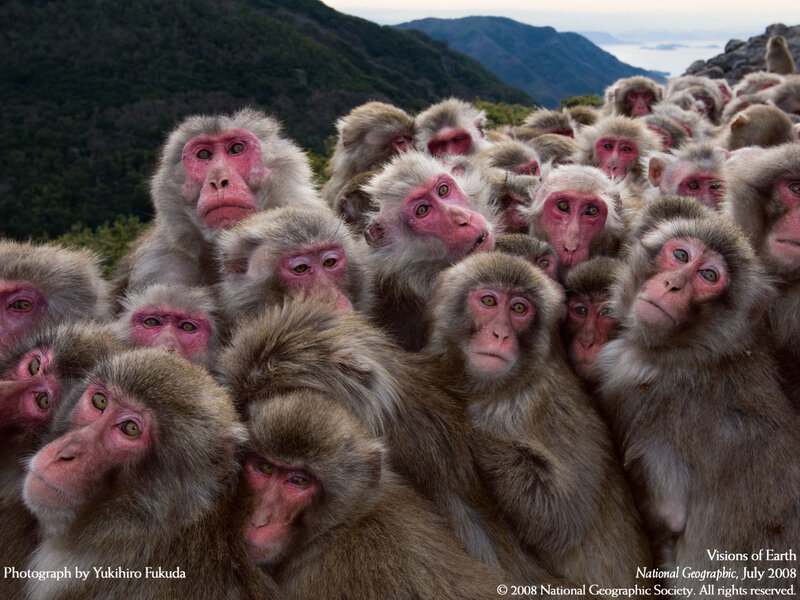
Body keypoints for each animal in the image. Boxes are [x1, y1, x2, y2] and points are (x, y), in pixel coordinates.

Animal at [423, 252, 653, 592]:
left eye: (519, 309)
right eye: (489, 300)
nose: (500, 334)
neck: (503, 385)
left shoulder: (542, 405)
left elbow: (559, 521)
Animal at [595, 214, 799, 595]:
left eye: (709, 276)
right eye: (680, 255)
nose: (673, 283)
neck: (704, 351)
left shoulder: (631, 382)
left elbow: (670, 512)